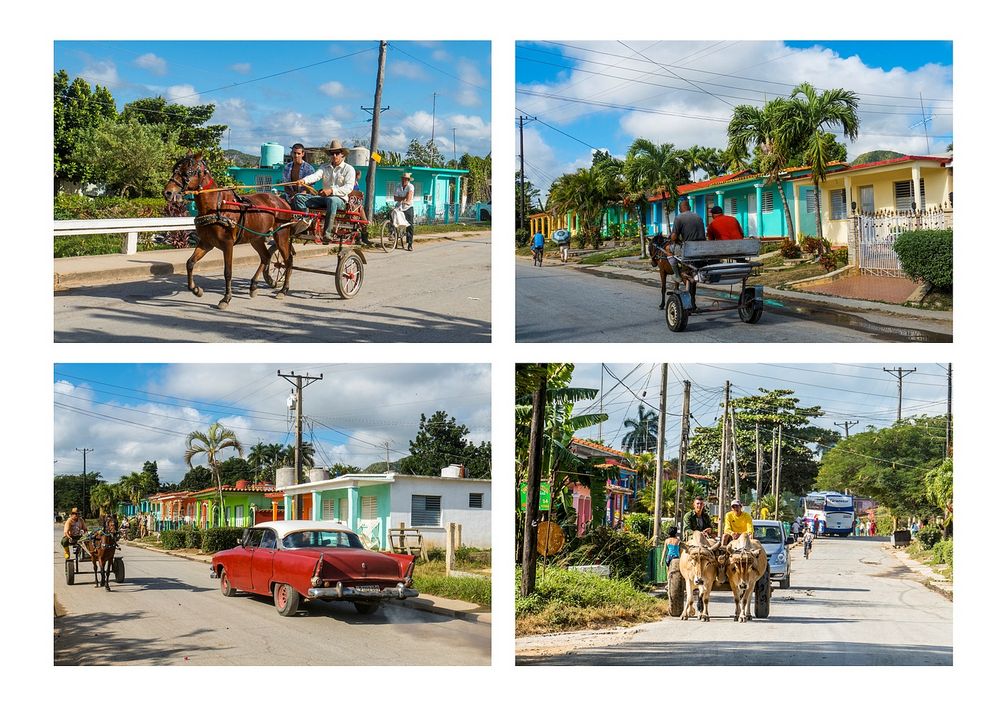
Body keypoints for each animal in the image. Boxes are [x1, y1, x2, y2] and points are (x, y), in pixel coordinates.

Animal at [162, 153, 294, 308]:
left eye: (188, 172)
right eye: (174, 170)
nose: (167, 192)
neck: (216, 207)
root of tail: (283, 202)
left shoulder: (228, 244)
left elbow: (228, 272)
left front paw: (226, 298)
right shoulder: (206, 243)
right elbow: (190, 263)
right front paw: (196, 289)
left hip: (281, 235)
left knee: (288, 260)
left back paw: (283, 290)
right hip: (256, 238)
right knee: (266, 257)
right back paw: (253, 286)